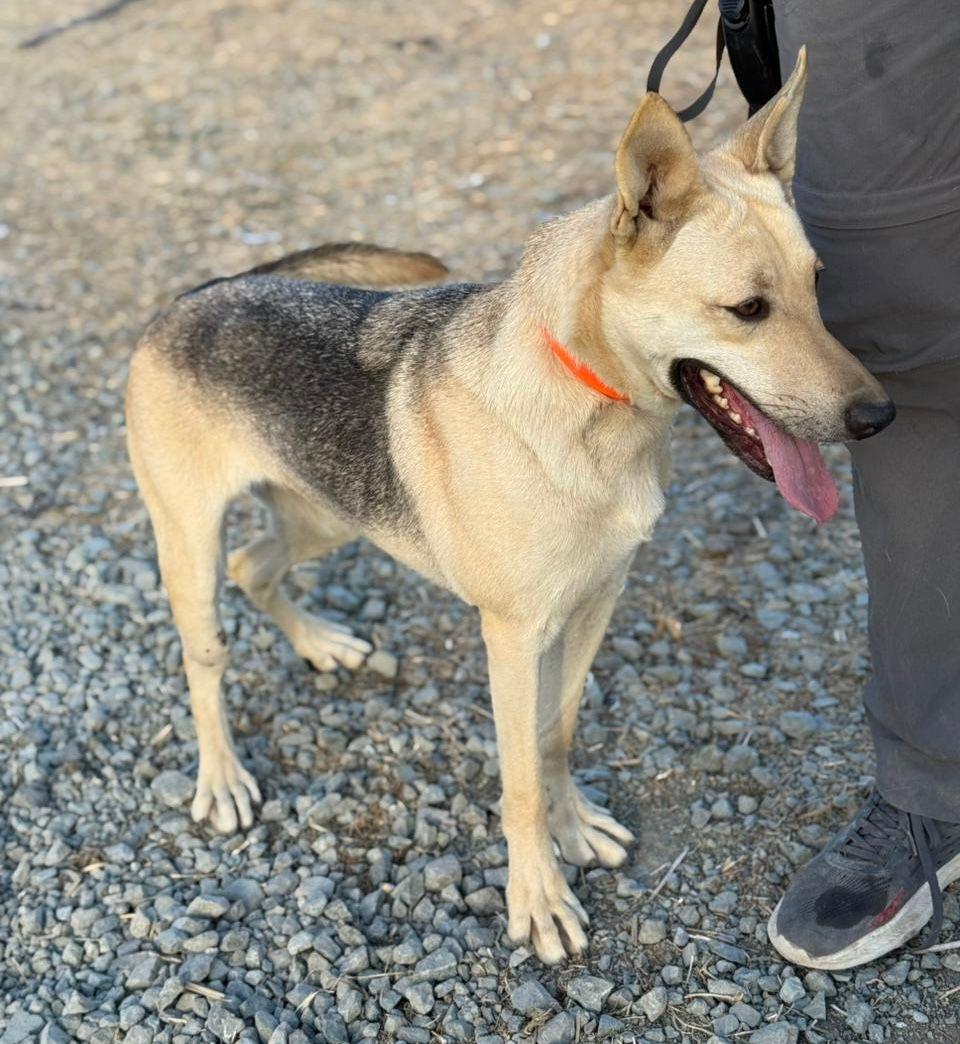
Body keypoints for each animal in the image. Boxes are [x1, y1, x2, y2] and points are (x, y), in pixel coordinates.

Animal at [126, 49, 894, 964]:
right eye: (748, 309)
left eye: (818, 285)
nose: (878, 417)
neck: (589, 400)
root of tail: (200, 290)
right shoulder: (513, 635)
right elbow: (519, 777)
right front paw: (538, 897)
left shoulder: (594, 603)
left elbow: (555, 735)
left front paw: (573, 828)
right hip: (188, 544)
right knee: (204, 654)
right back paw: (222, 777)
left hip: (325, 514)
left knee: (256, 565)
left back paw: (320, 644)